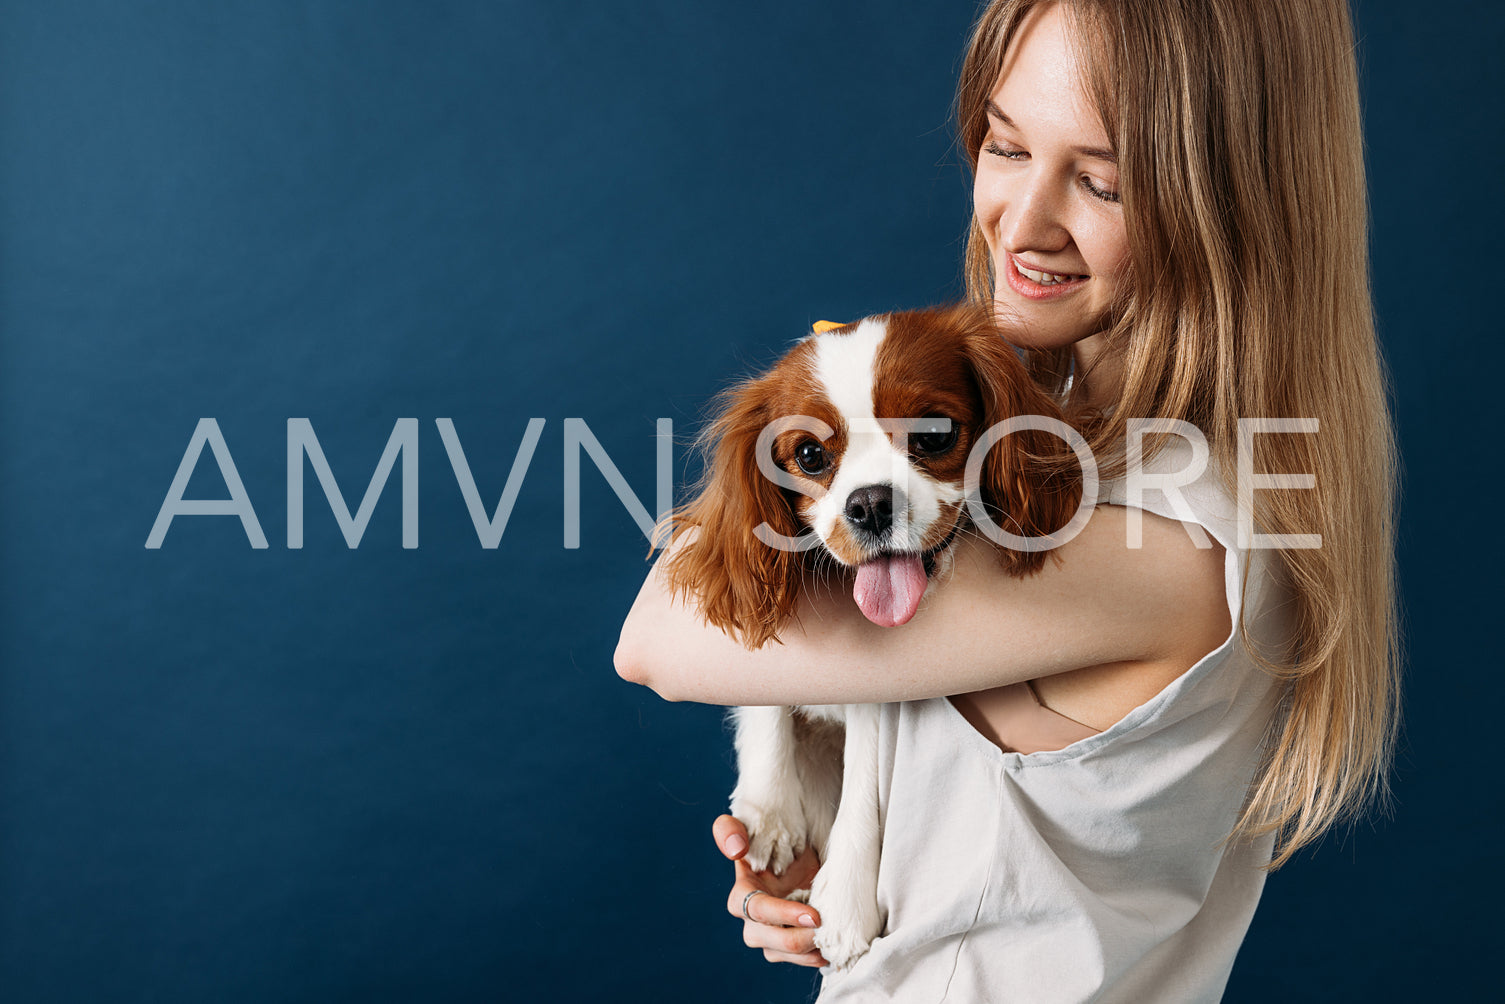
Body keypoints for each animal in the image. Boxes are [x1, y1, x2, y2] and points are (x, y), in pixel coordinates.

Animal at [665, 302, 1089, 969]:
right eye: (810, 455)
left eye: (935, 434)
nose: (867, 505)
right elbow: (764, 700)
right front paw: (769, 808)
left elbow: (864, 781)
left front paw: (843, 903)